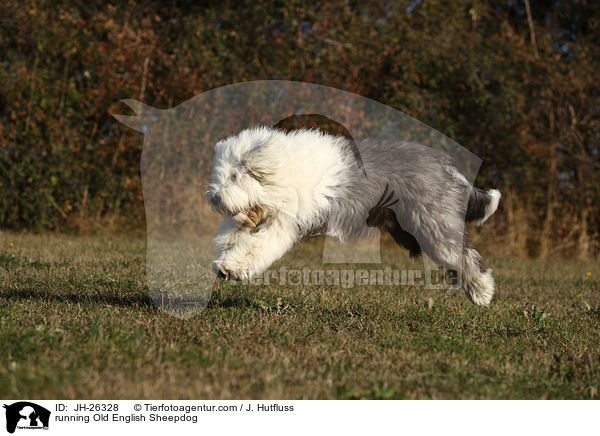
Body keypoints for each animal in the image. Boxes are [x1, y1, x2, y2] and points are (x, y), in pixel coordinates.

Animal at [209, 126, 500, 306]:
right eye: (220, 175)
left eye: (234, 176)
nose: (214, 198)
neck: (279, 171)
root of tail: (448, 168)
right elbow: (237, 233)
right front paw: (224, 256)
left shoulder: (285, 223)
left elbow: (257, 247)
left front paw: (230, 267)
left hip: (434, 224)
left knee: (465, 256)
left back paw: (483, 292)